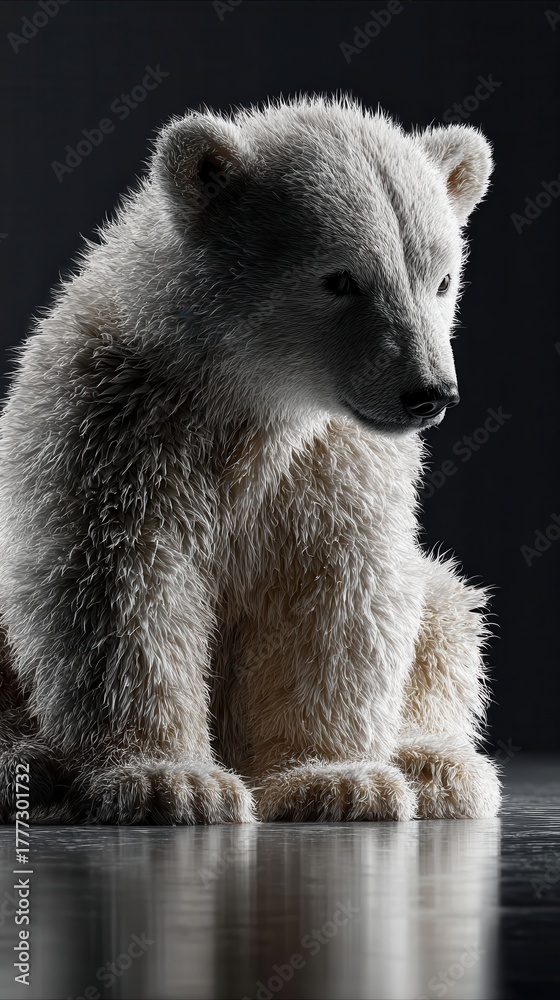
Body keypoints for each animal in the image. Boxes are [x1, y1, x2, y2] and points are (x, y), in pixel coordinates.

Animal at [0, 95, 500, 824]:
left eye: (441, 278)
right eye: (341, 278)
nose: (429, 391)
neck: (248, 401)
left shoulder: (334, 465)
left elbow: (339, 596)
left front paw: (337, 781)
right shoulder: (113, 434)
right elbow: (124, 593)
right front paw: (172, 781)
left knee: (447, 610)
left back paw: (433, 764)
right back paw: (33, 763)